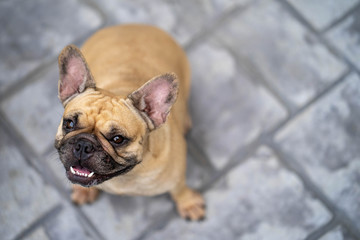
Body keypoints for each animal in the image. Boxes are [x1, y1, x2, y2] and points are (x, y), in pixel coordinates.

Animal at [53, 24, 205, 221]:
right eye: (69, 124)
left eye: (118, 139)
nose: (83, 145)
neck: (124, 178)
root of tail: (134, 25)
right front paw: (84, 191)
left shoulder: (177, 177)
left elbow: (179, 189)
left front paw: (188, 203)